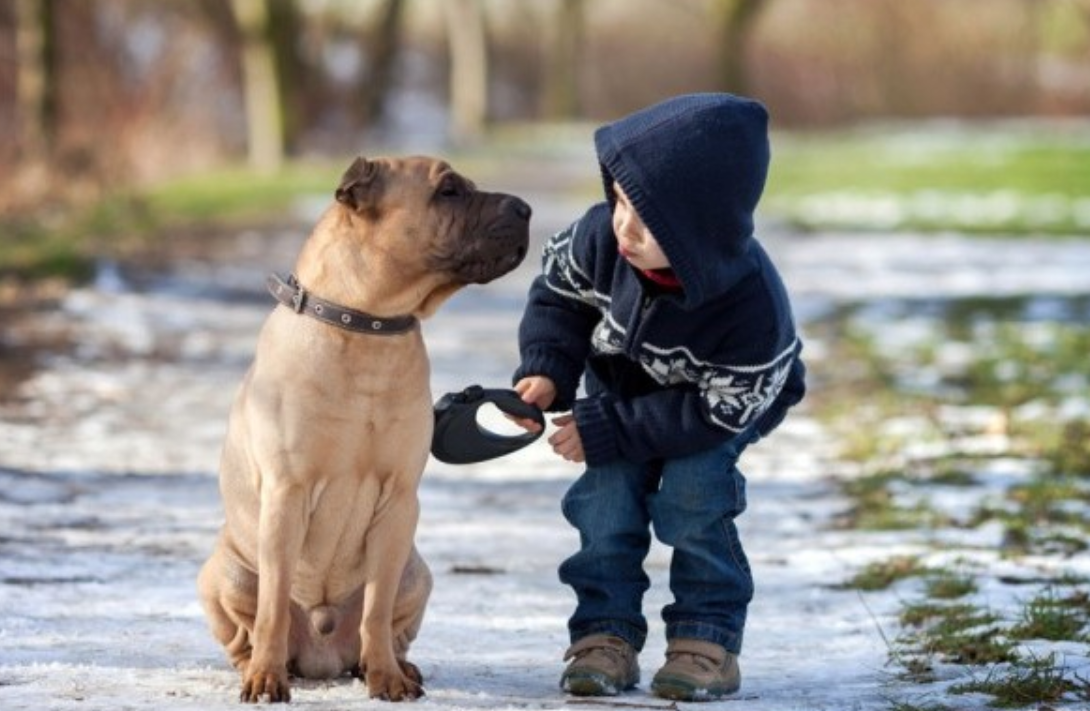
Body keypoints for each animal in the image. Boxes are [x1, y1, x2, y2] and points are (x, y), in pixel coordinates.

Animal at [200, 152, 531, 702]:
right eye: (449, 191)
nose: (525, 208)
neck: (367, 325)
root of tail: (322, 653)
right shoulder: (287, 493)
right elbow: (272, 607)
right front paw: (266, 678)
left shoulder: (398, 500)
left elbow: (375, 609)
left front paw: (386, 679)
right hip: (225, 573)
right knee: (248, 627)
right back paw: (262, 666)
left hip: (416, 572)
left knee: (386, 624)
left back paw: (398, 667)